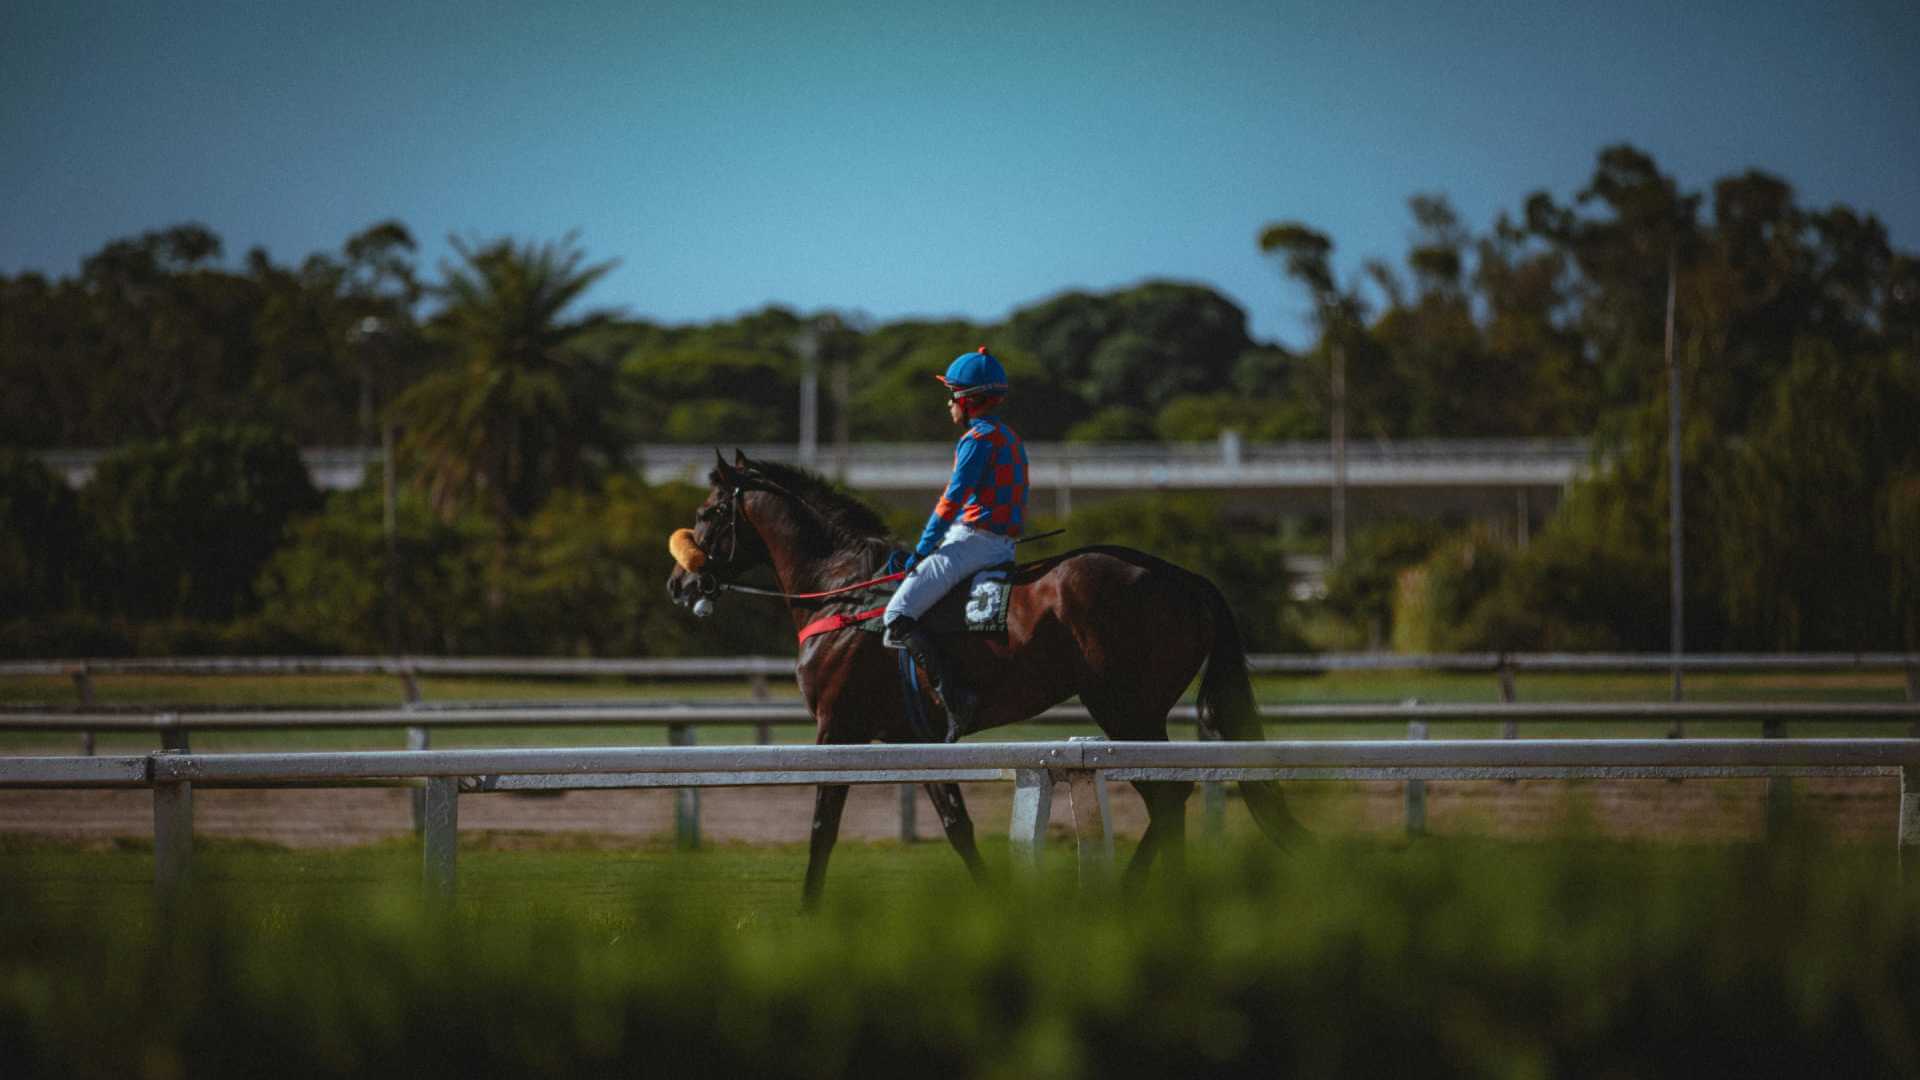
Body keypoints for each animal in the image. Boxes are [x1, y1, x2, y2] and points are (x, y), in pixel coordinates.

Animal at [665, 450, 1304, 906]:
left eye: (707, 512)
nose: (679, 583)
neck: (844, 591)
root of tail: (1186, 578)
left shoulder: (837, 728)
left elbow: (823, 823)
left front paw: (806, 908)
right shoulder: (912, 739)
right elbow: (956, 823)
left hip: (1126, 708)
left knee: (1168, 797)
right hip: (1134, 712)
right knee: (1170, 798)